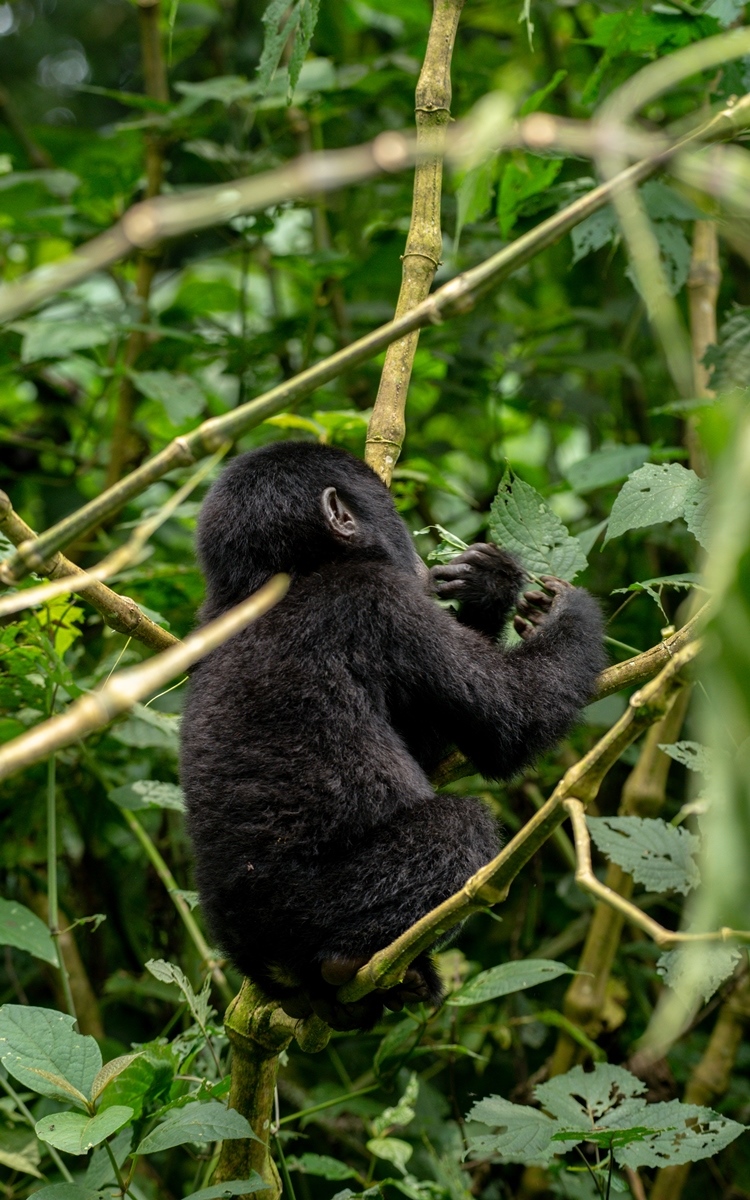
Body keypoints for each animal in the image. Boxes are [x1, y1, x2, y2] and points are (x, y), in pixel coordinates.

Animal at [181, 446, 609, 1027]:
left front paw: (482, 584)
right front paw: (560, 608)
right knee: (460, 828)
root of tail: (265, 963)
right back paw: (355, 963)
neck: (268, 582)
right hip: (314, 908)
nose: (418, 558)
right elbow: (510, 722)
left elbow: (429, 742)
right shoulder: (380, 600)